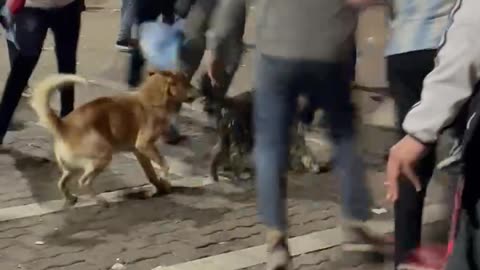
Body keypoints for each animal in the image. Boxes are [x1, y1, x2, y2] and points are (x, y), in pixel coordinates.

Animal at [30, 71, 193, 207]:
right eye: (187, 83)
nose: (198, 91)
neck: (152, 98)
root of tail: (63, 126)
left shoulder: (140, 152)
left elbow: (151, 174)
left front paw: (162, 187)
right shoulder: (144, 144)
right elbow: (164, 165)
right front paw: (164, 179)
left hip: (71, 168)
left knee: (62, 183)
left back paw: (71, 198)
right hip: (102, 157)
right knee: (84, 182)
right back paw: (100, 201)